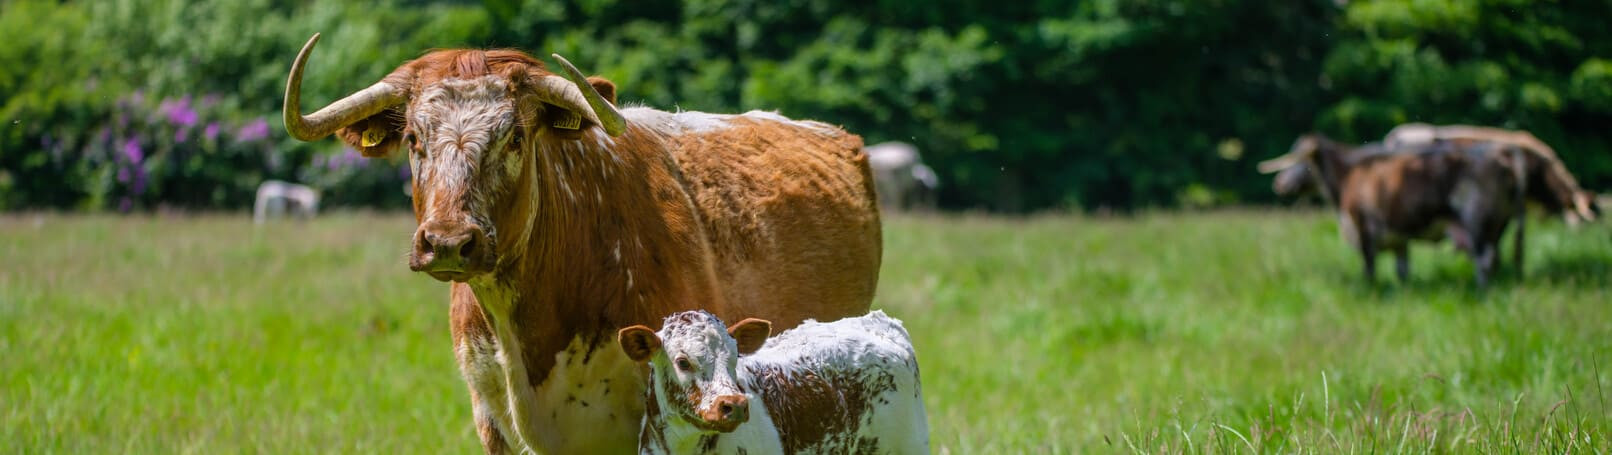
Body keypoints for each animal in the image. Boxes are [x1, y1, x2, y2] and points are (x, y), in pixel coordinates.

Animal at [1257, 133, 1521, 285]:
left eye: (1302, 160)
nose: (1278, 183)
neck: (1348, 176)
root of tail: (1502, 158)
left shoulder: (1364, 227)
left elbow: (1369, 268)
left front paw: (1369, 292)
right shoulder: (1398, 239)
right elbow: (1402, 271)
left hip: (1476, 222)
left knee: (1484, 260)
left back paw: (1481, 292)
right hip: (1496, 226)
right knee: (1494, 259)